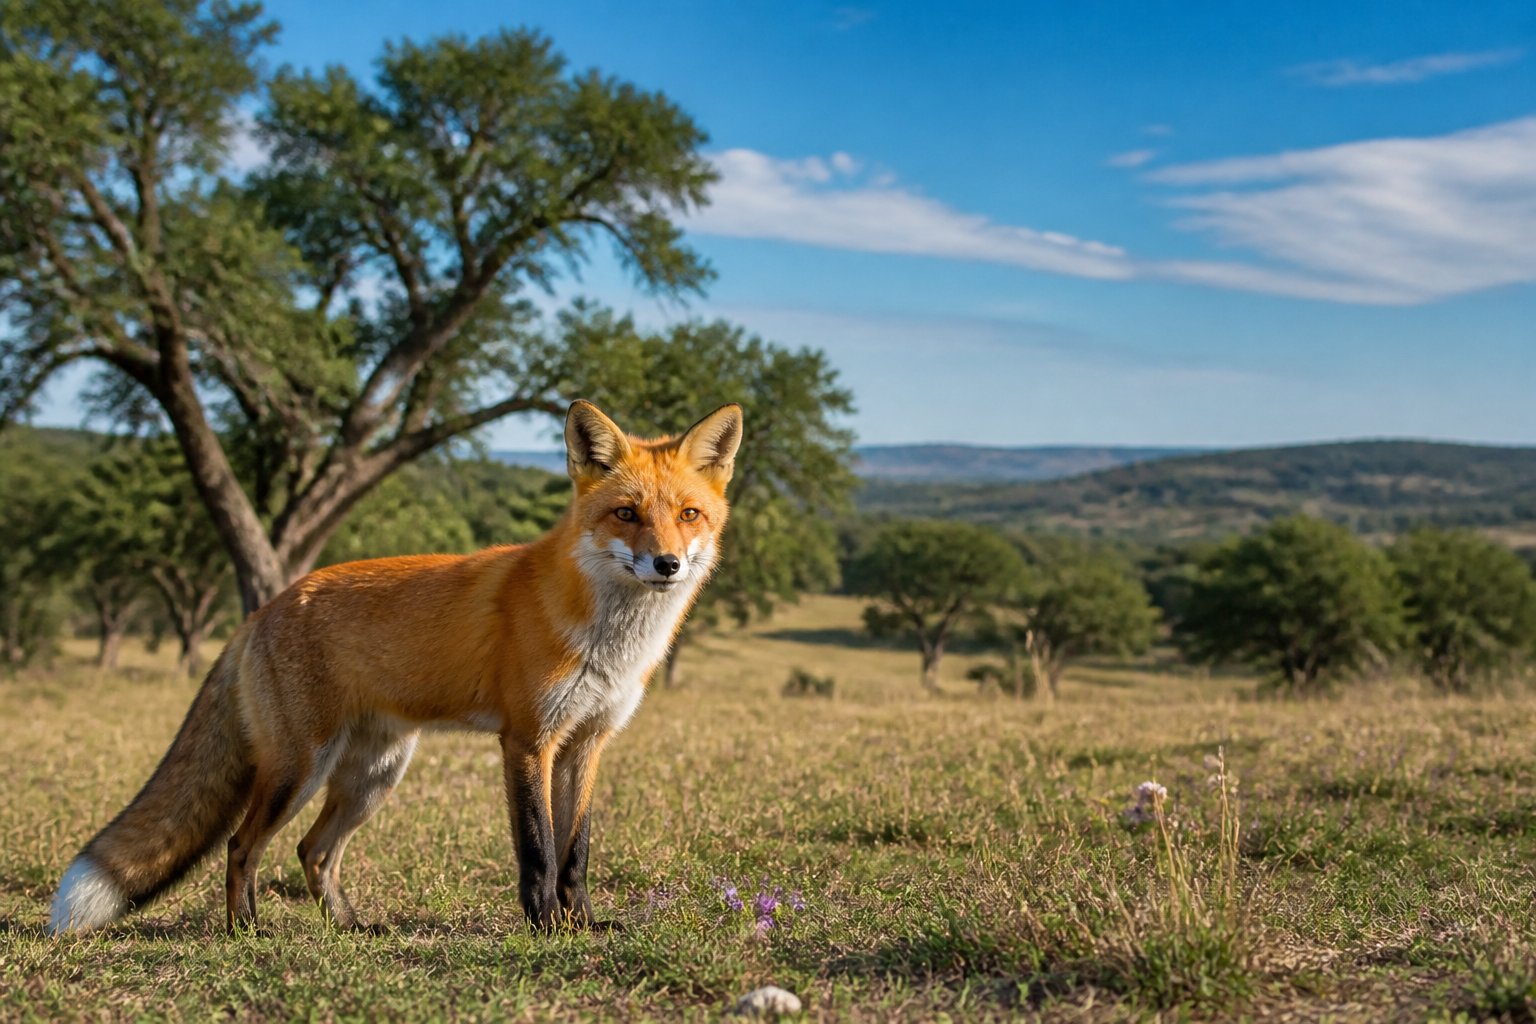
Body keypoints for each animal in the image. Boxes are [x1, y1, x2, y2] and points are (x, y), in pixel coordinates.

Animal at [50, 400, 743, 935]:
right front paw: (546, 928)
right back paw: (246, 930)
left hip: (374, 774)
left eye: (688, 515)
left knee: (313, 851)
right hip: (299, 768)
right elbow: (539, 851)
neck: (608, 641)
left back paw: (350, 928)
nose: (667, 564)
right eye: (626, 514)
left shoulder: (588, 741)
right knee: (242, 846)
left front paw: (584, 926)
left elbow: (578, 855)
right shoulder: (528, 740)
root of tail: (267, 607)